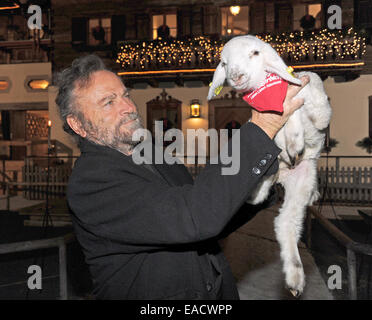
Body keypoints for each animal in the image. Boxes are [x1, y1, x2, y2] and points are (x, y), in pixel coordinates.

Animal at [208, 35, 332, 298]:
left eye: (255, 53)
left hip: (303, 177)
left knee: (287, 222)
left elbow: (305, 93)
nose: (236, 76)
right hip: (272, 177)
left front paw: (295, 138)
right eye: (224, 63)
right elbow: (281, 117)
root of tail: (281, 176)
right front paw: (291, 138)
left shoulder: (318, 108)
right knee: (272, 211)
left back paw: (295, 277)